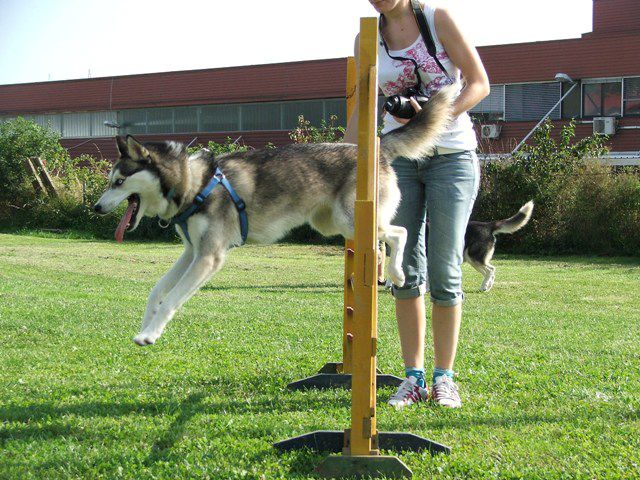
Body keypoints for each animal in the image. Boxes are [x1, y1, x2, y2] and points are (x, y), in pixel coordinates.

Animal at [94, 86, 456, 346]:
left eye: (119, 182)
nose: (96, 208)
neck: (193, 183)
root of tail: (377, 147)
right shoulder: (191, 252)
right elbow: (157, 291)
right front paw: (145, 325)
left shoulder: (208, 257)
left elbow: (171, 299)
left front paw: (149, 335)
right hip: (332, 224)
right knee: (387, 238)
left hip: (350, 218)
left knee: (400, 232)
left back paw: (396, 273)